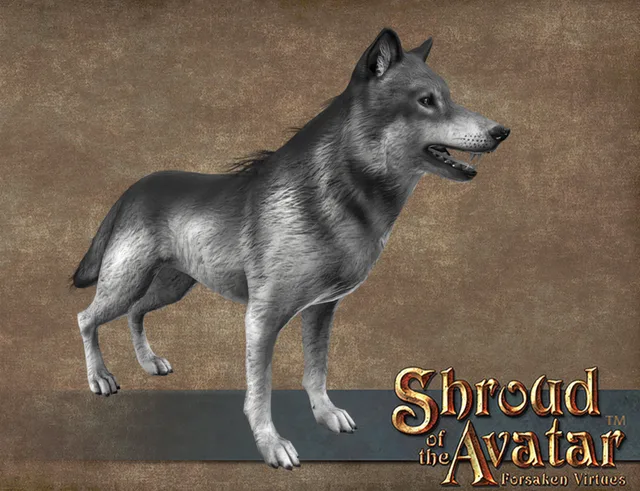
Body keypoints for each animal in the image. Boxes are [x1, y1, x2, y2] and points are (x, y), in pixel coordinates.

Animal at [71, 28, 510, 469]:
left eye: (449, 97)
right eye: (426, 101)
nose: (501, 131)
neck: (335, 196)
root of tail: (132, 189)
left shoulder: (321, 309)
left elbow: (316, 371)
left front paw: (326, 414)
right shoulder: (261, 319)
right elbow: (260, 392)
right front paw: (271, 445)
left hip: (171, 285)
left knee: (135, 312)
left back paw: (149, 362)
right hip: (127, 280)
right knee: (87, 317)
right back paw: (100, 378)